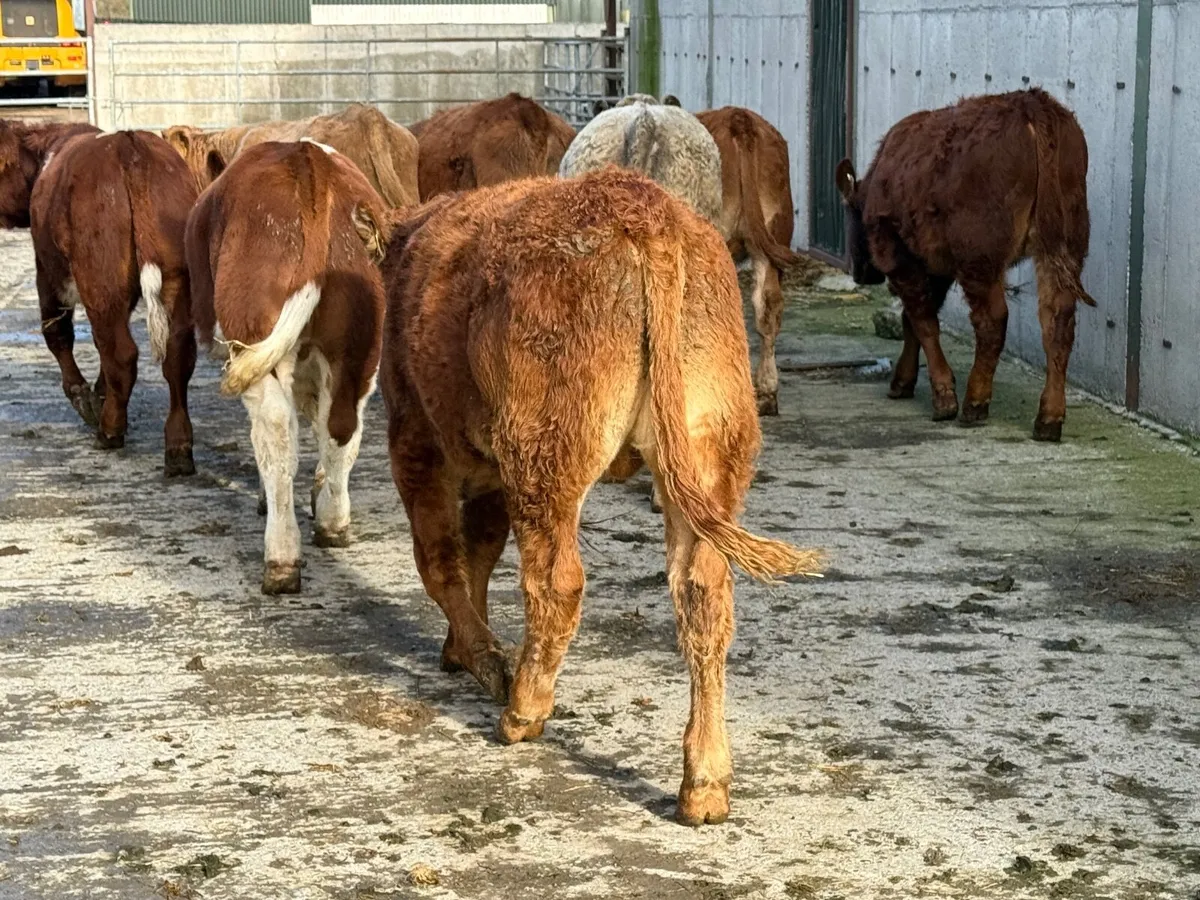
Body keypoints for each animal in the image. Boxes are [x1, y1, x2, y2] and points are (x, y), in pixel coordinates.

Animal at [24, 129, 199, 474]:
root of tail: (128, 144)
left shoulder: (48, 274)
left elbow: (57, 332)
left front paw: (84, 397)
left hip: (100, 281)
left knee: (119, 353)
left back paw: (109, 430)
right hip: (174, 281)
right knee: (176, 356)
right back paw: (178, 447)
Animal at [186, 139, 389, 595]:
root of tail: (309, 162)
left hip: (259, 343)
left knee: (276, 434)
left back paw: (281, 558)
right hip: (360, 350)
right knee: (342, 427)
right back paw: (333, 521)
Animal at [353, 168, 824, 827]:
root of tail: (645, 212)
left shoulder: (416, 442)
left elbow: (443, 561)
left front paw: (481, 658)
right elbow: (478, 553)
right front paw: (462, 649)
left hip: (543, 456)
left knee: (557, 583)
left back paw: (523, 709)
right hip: (706, 454)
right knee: (704, 599)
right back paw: (704, 783)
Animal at [835, 88, 1094, 441]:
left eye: (849, 213)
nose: (860, 272)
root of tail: (1032, 103)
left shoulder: (901, 258)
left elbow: (923, 321)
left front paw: (943, 396)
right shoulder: (935, 266)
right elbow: (912, 320)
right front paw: (904, 380)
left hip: (979, 259)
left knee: (992, 322)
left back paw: (975, 402)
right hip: (1064, 245)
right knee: (1058, 322)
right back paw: (1049, 419)